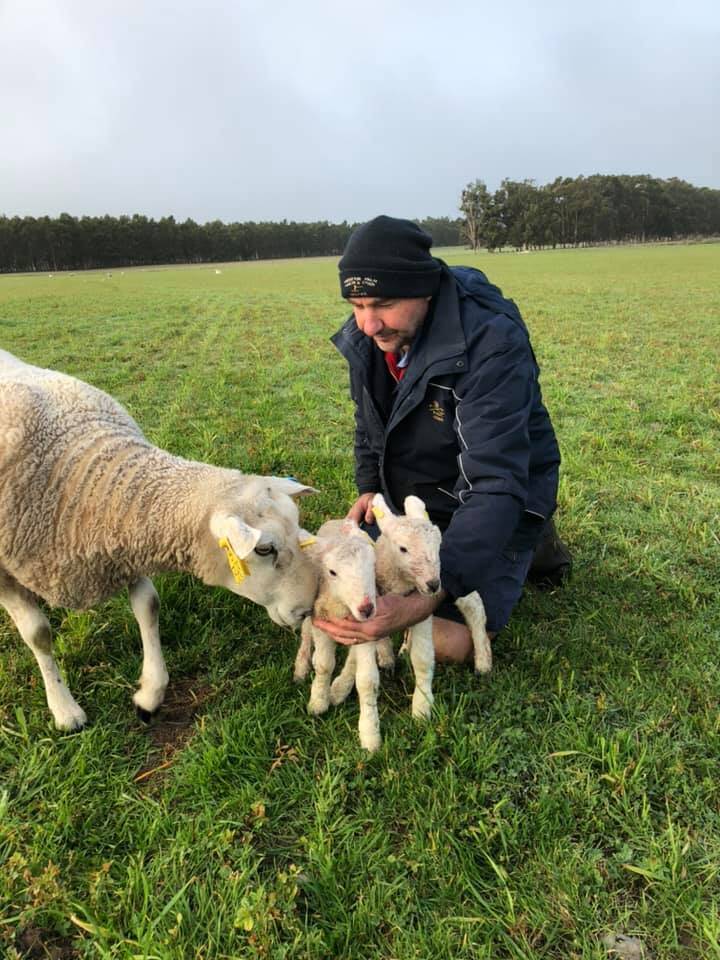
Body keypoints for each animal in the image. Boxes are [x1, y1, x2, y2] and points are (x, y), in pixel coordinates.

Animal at [0, 349, 319, 731]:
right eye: (264, 549)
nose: (305, 610)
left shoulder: (126, 546)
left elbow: (148, 606)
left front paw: (150, 693)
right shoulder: (7, 573)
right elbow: (38, 634)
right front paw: (65, 709)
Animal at [293, 519, 381, 751]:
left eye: (374, 566)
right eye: (332, 572)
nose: (367, 608)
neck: (342, 607)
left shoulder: (367, 630)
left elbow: (367, 681)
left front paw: (370, 733)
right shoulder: (320, 621)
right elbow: (324, 665)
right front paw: (318, 701)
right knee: (306, 635)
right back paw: (302, 666)